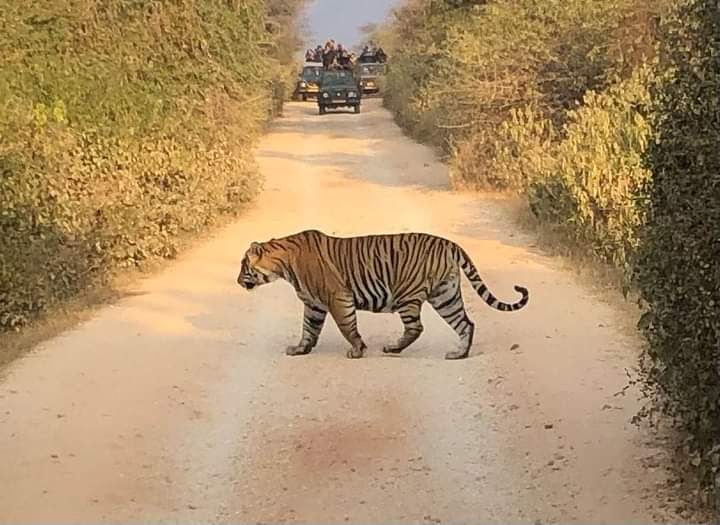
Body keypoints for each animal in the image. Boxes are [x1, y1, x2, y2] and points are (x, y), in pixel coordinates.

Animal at [236, 229, 529, 360]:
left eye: (243, 265)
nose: (238, 281)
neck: (283, 265)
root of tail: (450, 243)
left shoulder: (337, 297)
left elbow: (347, 326)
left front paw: (357, 350)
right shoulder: (314, 304)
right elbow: (309, 328)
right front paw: (300, 349)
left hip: (408, 295)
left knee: (416, 327)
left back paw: (393, 348)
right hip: (445, 295)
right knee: (466, 323)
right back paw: (459, 354)